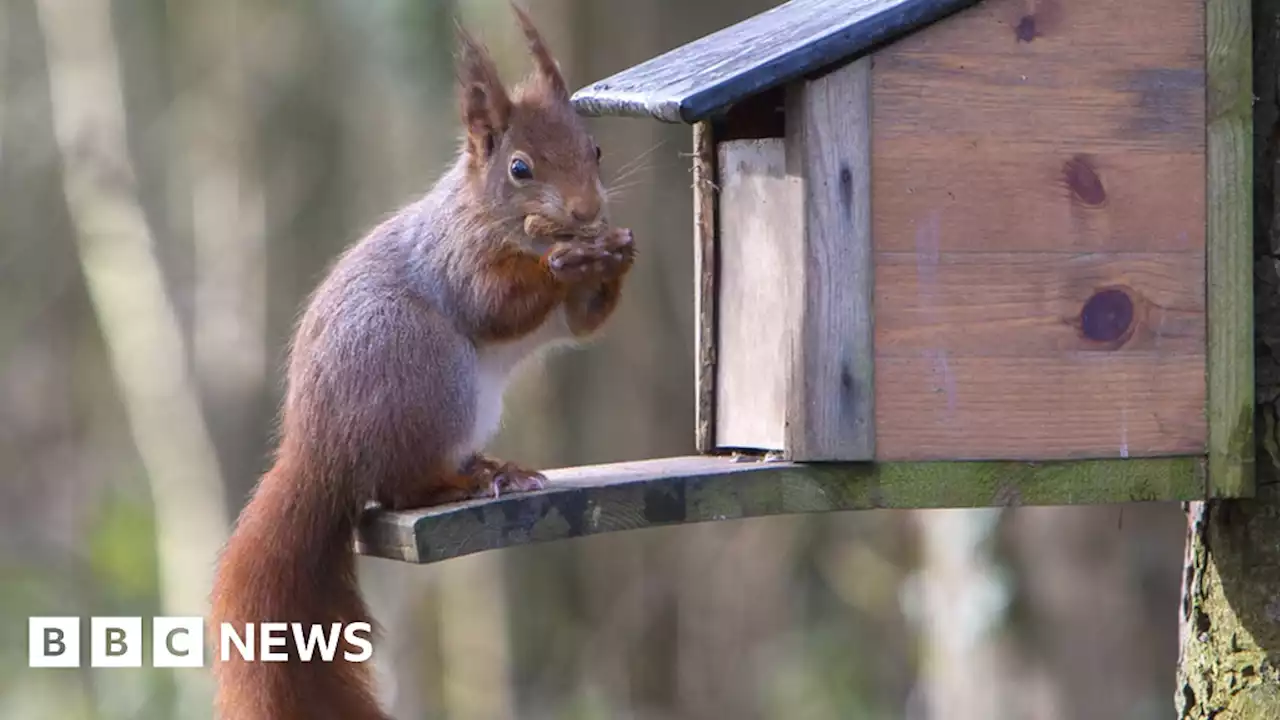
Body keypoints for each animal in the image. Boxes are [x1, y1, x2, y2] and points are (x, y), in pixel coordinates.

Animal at [212, 7, 637, 717]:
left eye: (596, 150)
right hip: (427, 374)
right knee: (400, 488)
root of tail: (320, 451)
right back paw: (466, 482)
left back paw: (492, 468)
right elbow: (494, 306)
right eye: (520, 168)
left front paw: (616, 254)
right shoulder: (455, 259)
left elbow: (584, 321)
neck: (504, 225)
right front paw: (566, 262)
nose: (587, 212)